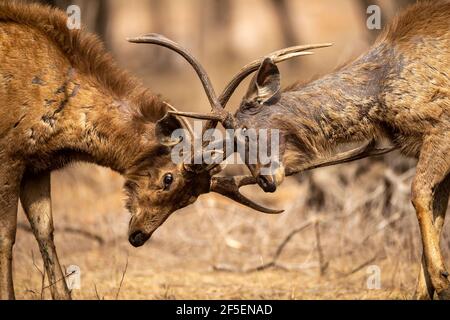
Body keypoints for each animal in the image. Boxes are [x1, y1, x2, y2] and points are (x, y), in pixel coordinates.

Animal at [164, 0, 450, 300]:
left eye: (243, 132)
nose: (265, 181)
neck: (383, 87)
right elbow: (435, 211)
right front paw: (428, 287)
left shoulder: (441, 129)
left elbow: (418, 193)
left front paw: (441, 282)